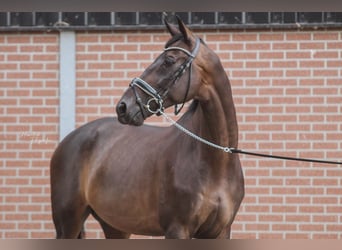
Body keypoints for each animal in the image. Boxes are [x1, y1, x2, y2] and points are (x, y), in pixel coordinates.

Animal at [50, 16, 243, 238]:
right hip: (68, 223)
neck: (216, 163)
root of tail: (68, 140)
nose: (123, 107)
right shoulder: (177, 228)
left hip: (115, 227)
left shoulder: (220, 231)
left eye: (169, 60)